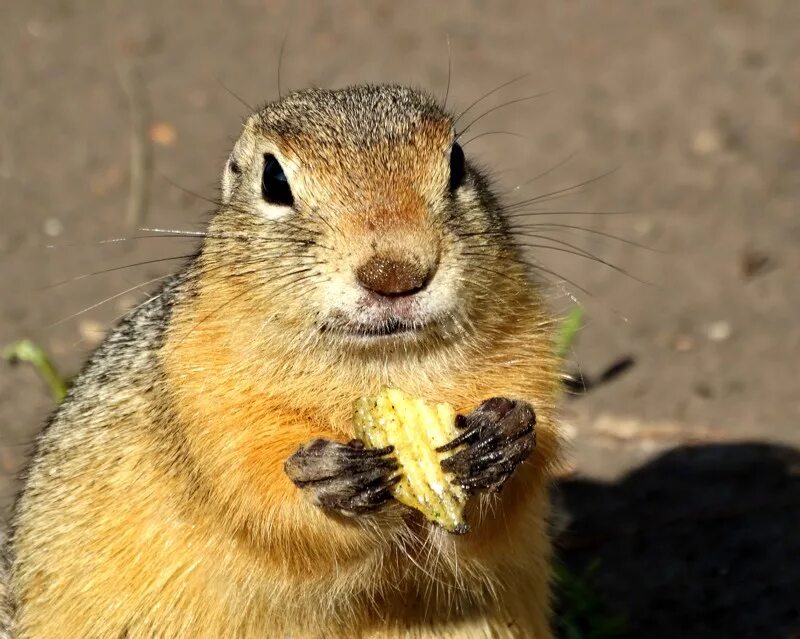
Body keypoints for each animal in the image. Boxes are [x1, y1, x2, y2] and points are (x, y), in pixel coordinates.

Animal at [3, 86, 560, 639]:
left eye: (457, 161)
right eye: (273, 180)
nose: (396, 273)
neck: (382, 363)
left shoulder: (525, 351)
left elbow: (501, 510)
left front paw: (504, 433)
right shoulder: (205, 399)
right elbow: (259, 491)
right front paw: (322, 474)